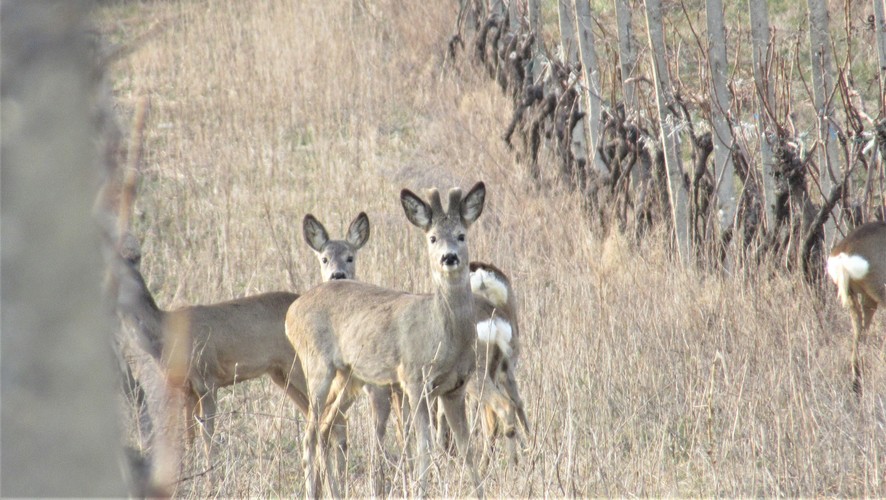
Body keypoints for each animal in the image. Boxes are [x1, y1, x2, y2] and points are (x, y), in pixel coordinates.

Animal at [115, 213, 372, 456]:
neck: (164, 333)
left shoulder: (207, 378)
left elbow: (207, 435)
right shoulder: (185, 387)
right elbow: (188, 435)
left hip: (303, 368)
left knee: (337, 420)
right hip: (282, 375)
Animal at [288, 183, 490, 496]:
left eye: (461, 235)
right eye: (432, 237)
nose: (449, 257)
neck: (443, 336)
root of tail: (291, 312)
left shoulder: (455, 387)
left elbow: (466, 448)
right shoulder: (414, 378)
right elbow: (423, 445)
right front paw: (419, 490)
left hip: (348, 377)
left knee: (324, 426)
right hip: (317, 366)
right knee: (310, 433)